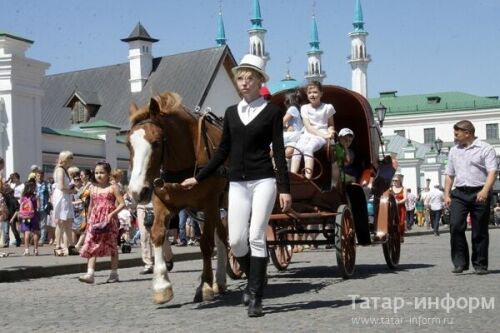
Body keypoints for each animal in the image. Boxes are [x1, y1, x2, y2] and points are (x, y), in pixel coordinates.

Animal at [129, 91, 230, 304]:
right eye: (128, 144)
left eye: (156, 143)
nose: (136, 192)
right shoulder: (163, 201)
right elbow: (157, 234)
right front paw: (161, 285)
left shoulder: (209, 202)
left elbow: (205, 243)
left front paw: (205, 285)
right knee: (222, 235)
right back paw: (220, 280)